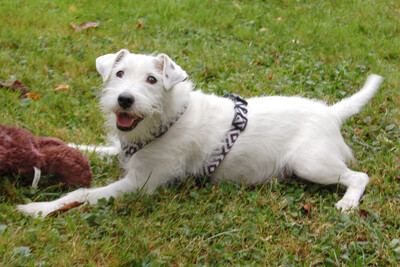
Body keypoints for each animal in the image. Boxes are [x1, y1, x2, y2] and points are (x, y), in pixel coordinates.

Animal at [17, 49, 382, 218]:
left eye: (152, 79)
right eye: (119, 73)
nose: (125, 99)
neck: (166, 118)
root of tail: (331, 112)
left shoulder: (139, 184)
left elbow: (83, 194)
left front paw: (38, 208)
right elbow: (91, 148)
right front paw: (59, 145)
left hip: (312, 164)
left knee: (359, 176)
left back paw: (348, 202)